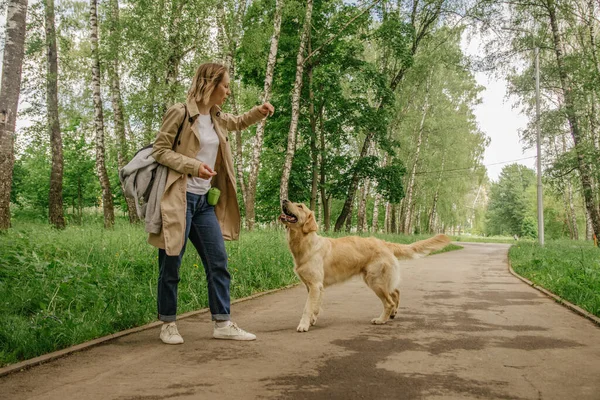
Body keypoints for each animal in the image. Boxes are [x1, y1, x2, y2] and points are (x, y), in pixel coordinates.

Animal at [280, 200, 450, 332]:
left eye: (300, 206)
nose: (284, 200)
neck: (305, 243)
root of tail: (384, 243)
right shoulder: (314, 286)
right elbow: (315, 306)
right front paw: (313, 320)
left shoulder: (315, 285)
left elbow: (307, 307)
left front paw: (303, 325)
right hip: (380, 279)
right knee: (396, 292)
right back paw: (393, 313)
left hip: (375, 281)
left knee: (389, 301)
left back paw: (381, 320)